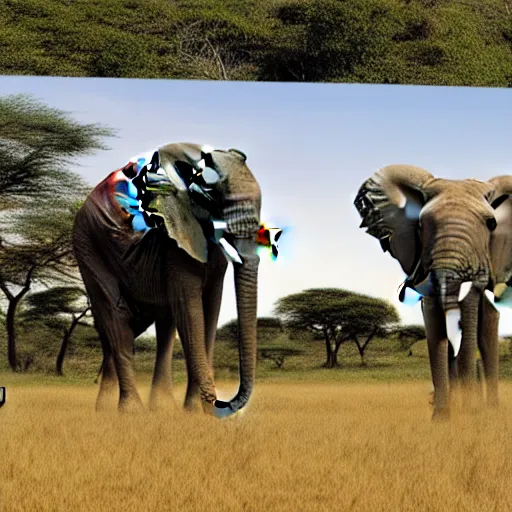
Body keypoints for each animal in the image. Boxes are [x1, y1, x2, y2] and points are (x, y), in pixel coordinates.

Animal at [72, 142, 280, 418]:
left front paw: (194, 412)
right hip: (87, 243)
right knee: (116, 315)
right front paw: (201, 412)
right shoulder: (175, 237)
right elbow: (191, 311)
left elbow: (211, 308)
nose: (224, 403)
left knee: (156, 325)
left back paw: (127, 409)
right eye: (212, 201)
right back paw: (132, 413)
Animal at [354, 167, 512, 420]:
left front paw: (468, 416)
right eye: (420, 225)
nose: (467, 409)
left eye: (492, 224)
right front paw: (442, 419)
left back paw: (490, 410)